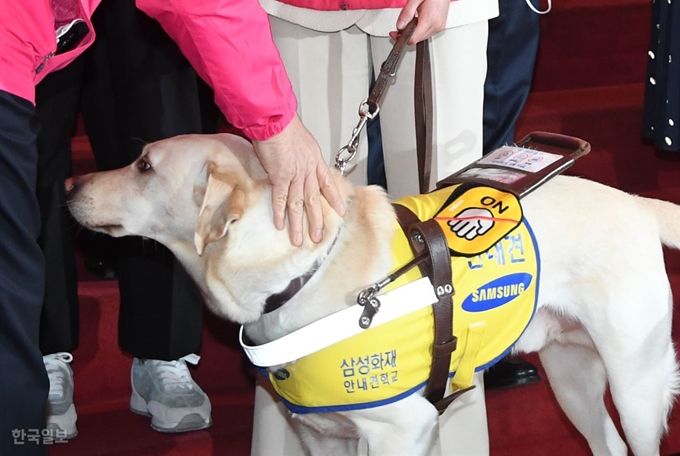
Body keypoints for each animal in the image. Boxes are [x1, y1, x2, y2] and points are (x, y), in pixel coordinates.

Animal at [67, 134, 680, 454]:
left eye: (144, 165)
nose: (69, 184)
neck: (300, 274)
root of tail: (636, 201)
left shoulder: (401, 433)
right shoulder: (320, 435)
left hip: (636, 384)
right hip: (573, 380)